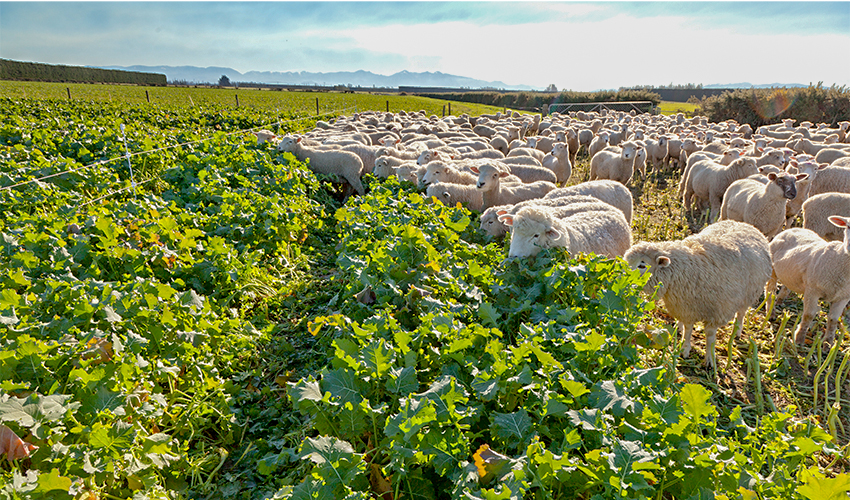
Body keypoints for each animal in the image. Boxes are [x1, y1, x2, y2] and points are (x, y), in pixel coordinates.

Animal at [620, 221, 772, 370]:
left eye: (642, 265)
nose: (622, 278)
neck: (686, 269)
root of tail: (745, 224)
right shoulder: (686, 306)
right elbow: (688, 330)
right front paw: (685, 349)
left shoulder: (716, 313)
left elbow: (710, 337)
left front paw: (710, 359)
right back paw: (679, 326)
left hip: (749, 295)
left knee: (741, 313)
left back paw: (738, 330)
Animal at [760, 217, 848, 346]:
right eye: (848, 226)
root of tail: (793, 229)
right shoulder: (812, 291)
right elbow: (808, 315)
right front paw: (799, 339)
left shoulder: (842, 298)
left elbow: (833, 320)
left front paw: (828, 344)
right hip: (772, 270)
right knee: (770, 291)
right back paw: (770, 313)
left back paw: (780, 301)